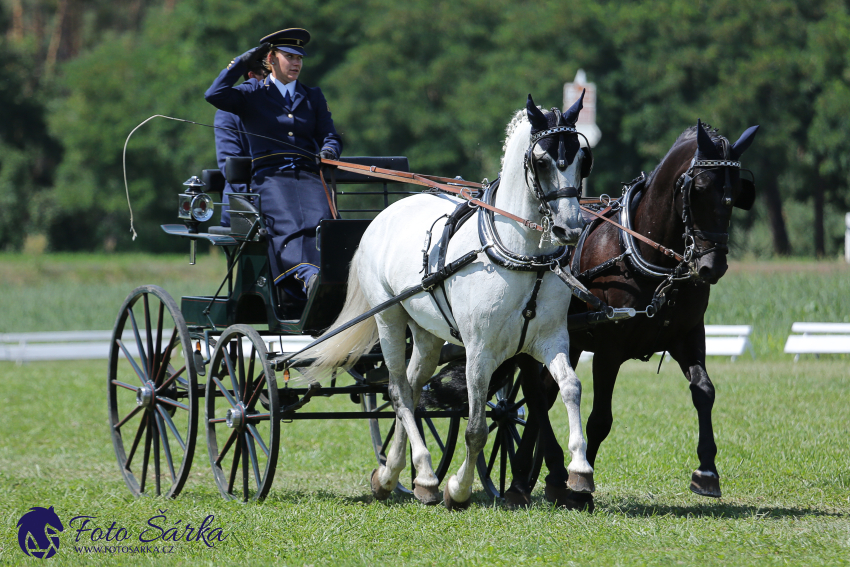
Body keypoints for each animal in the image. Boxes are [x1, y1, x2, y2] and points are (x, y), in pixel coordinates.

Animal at [308, 93, 592, 510]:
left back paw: (401, 476)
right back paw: (422, 474)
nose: (569, 229)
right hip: (389, 320)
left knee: (411, 391)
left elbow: (571, 388)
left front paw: (580, 471)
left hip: (427, 334)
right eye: (541, 161)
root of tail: (384, 216)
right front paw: (458, 489)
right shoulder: (479, 351)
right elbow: (475, 428)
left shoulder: (551, 339)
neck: (522, 256)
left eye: (582, 159)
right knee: (397, 390)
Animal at [500, 120, 760, 510]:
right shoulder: (608, 350)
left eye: (735, 193)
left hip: (567, 342)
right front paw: (581, 489)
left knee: (543, 394)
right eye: (698, 189)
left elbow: (704, 391)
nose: (712, 266)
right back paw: (529, 478)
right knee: (535, 395)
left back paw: (534, 478)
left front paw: (707, 471)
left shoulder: (688, 336)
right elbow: (599, 420)